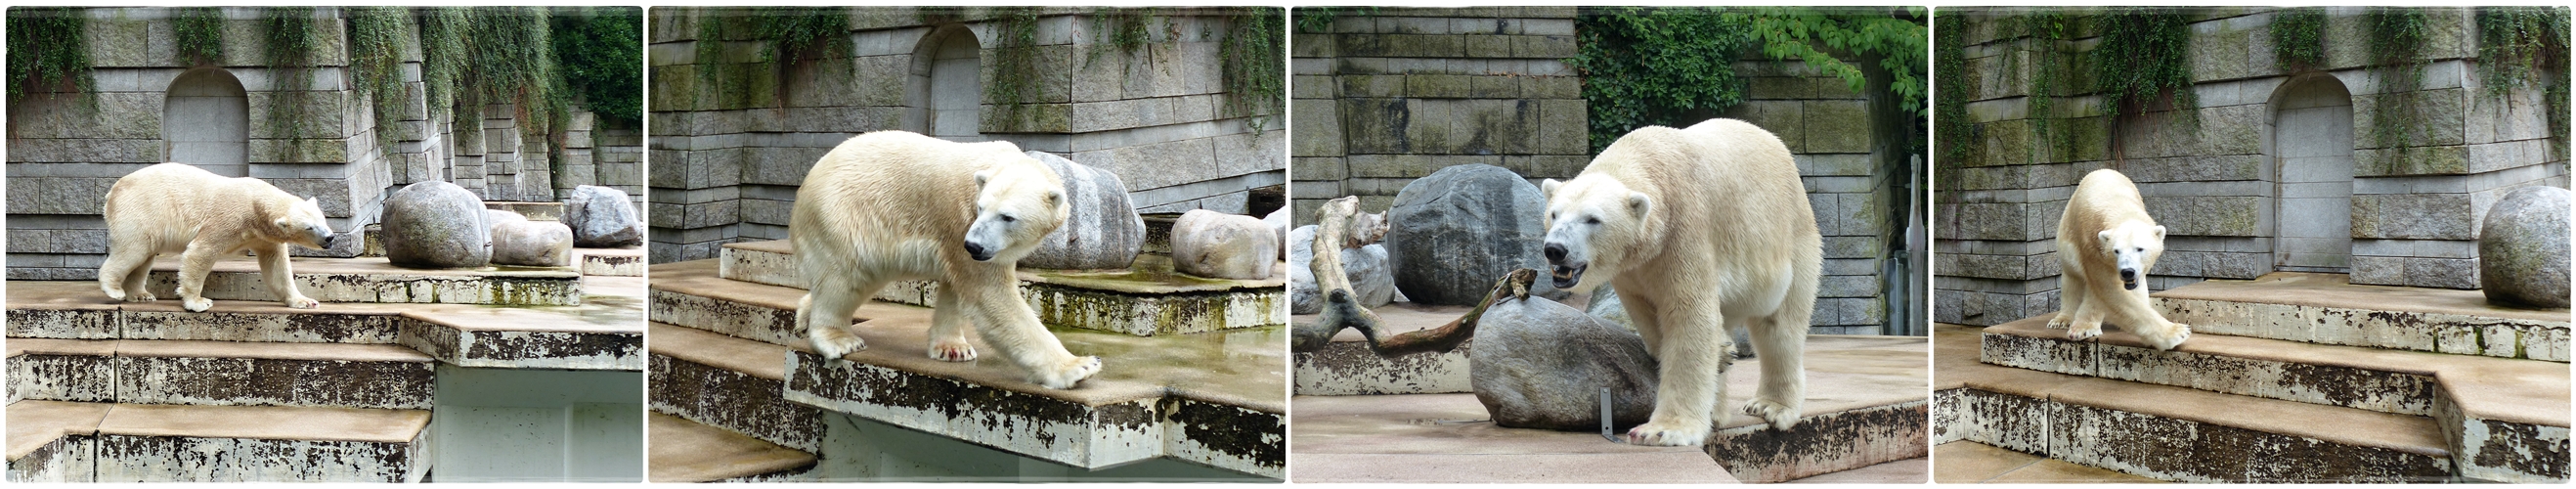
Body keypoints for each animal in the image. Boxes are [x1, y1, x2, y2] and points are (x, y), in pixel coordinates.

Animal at [99, 161, 337, 311]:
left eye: (322, 218)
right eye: (309, 227)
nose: (330, 238)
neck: (255, 204)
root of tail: (112, 191)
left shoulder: (264, 238)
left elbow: (277, 267)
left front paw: (305, 301)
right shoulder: (228, 219)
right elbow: (200, 252)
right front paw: (198, 302)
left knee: (144, 258)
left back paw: (141, 295)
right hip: (142, 210)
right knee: (133, 250)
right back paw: (115, 290)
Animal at [788, 130, 1102, 388]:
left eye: (1007, 217)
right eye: (981, 208)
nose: (973, 245)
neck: (997, 162)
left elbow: (956, 289)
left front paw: (953, 348)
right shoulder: (960, 219)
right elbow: (990, 296)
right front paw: (1080, 366)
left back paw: (805, 316)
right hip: (842, 216)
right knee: (844, 277)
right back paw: (838, 339)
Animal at [1535, 116, 1823, 445]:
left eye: (1592, 219)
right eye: (1554, 214)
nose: (1555, 249)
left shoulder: (1684, 232)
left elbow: (1689, 316)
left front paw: (1663, 430)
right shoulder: (1631, 271)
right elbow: (1649, 318)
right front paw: (1720, 358)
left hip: (1790, 235)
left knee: (1780, 326)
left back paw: (1771, 406)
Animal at [2050, 169, 2195, 349]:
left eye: (2140, 248)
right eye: (2116, 251)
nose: (2127, 272)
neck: (2118, 207)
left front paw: (2084, 328)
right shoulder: (2093, 248)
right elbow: (2111, 290)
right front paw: (2177, 333)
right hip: (2066, 242)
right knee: (2072, 280)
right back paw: (2063, 320)